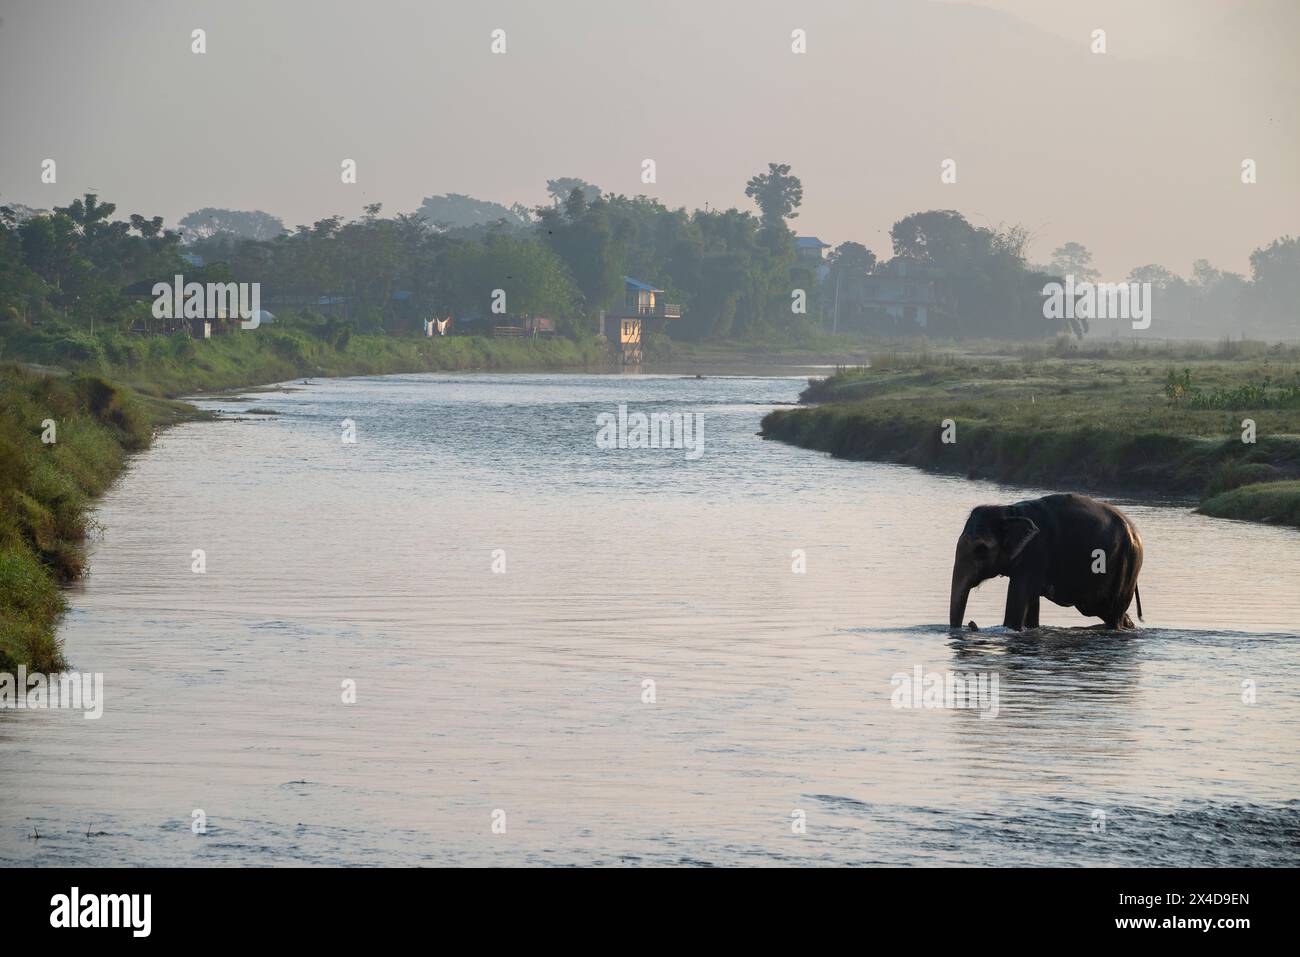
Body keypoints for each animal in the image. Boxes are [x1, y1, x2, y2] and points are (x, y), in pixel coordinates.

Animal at [951, 494, 1144, 634]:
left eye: (981, 549)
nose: (971, 623)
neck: (1010, 511)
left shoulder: (1035, 553)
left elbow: (1017, 604)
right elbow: (1031, 602)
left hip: (1127, 566)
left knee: (1112, 614)